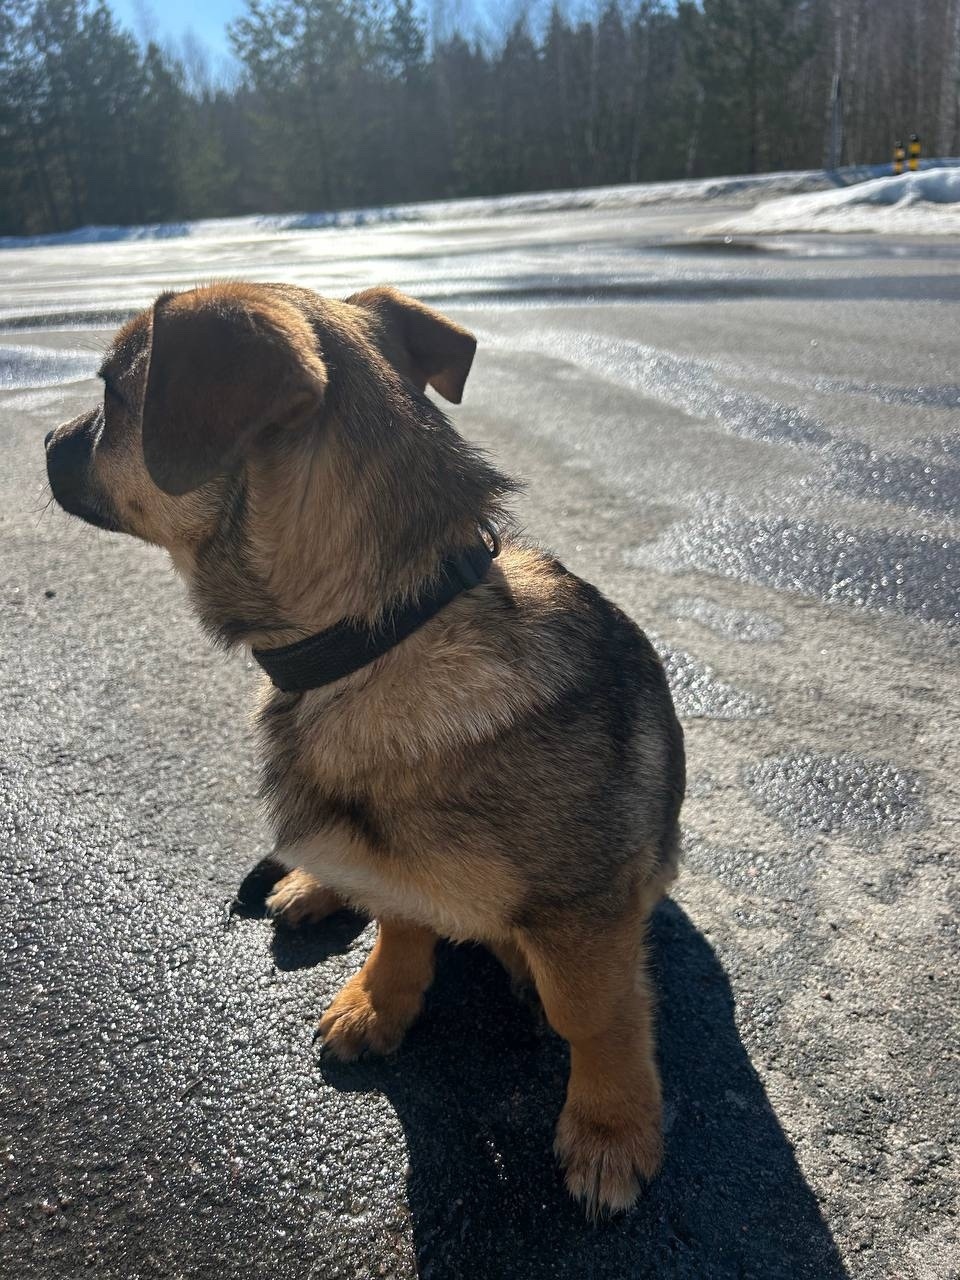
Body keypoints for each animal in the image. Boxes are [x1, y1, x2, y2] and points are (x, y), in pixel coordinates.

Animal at [45, 281, 685, 1216]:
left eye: (112, 397)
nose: (44, 442)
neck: (384, 630)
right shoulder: (391, 865)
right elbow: (400, 922)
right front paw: (381, 999)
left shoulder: (584, 910)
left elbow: (594, 1016)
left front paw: (610, 1127)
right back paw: (312, 887)